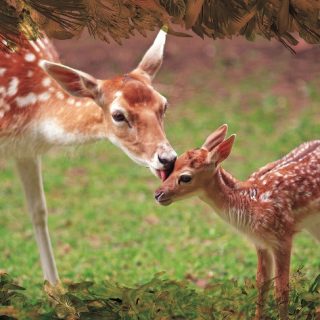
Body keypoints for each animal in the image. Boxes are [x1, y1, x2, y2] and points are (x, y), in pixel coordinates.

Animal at [0, 30, 178, 284]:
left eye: (164, 104)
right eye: (118, 115)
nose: (168, 158)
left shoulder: (25, 149)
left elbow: (38, 211)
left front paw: (56, 290)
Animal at [154, 125, 318, 320]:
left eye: (185, 177)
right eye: (172, 166)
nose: (158, 194)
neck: (252, 204)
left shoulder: (283, 235)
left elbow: (281, 289)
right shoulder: (260, 242)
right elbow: (262, 284)